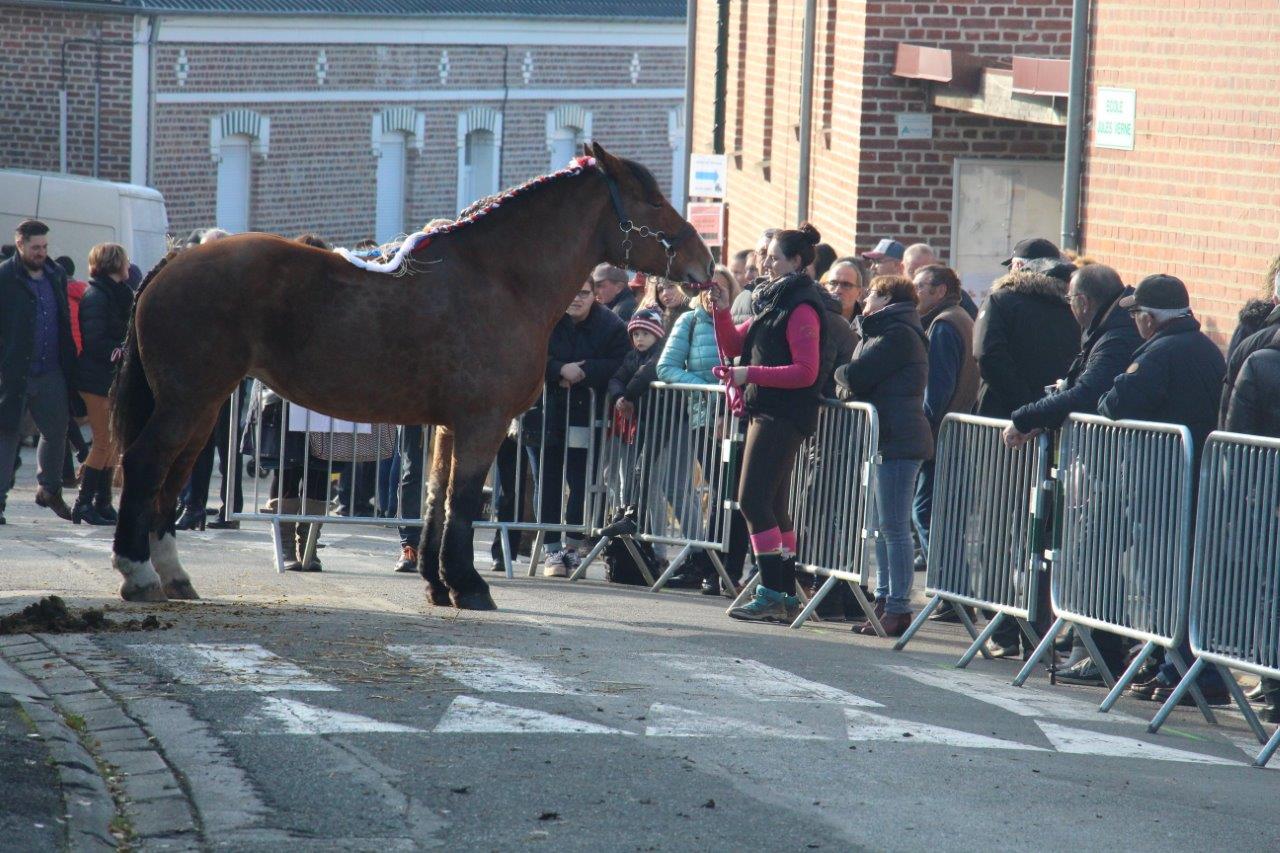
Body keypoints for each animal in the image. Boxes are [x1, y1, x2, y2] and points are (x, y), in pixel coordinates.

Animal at [106, 140, 716, 604]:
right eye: (652, 200)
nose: (704, 261)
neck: (502, 278)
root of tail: (173, 261)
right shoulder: (482, 424)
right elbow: (462, 501)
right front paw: (467, 585)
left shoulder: (447, 426)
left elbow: (435, 498)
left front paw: (437, 581)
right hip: (188, 401)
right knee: (144, 465)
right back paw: (138, 572)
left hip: (204, 407)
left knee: (170, 477)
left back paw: (172, 574)